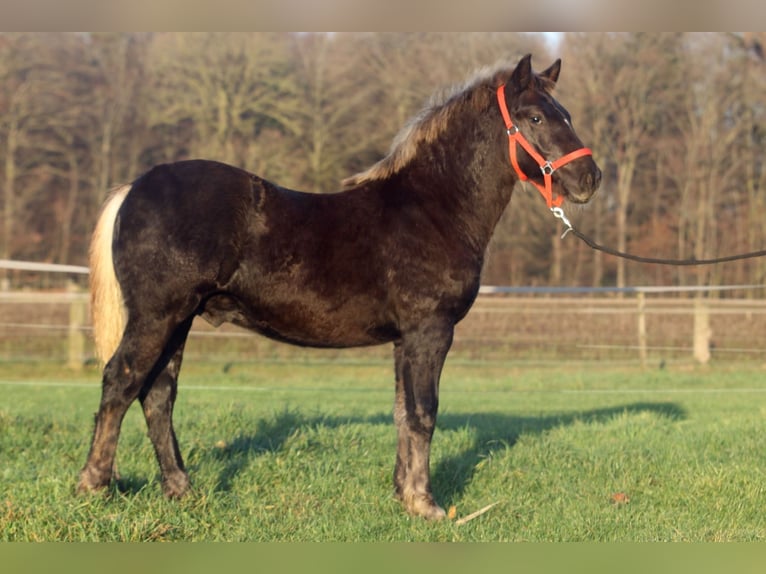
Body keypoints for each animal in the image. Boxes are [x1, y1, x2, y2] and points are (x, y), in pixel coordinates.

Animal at [77, 54, 601, 520]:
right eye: (535, 117)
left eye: (568, 115)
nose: (590, 178)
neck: (433, 208)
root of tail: (133, 188)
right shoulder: (430, 331)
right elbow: (424, 413)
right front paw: (426, 504)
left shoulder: (405, 340)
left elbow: (402, 412)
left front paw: (403, 495)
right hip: (158, 316)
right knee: (121, 381)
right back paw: (95, 485)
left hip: (180, 320)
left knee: (157, 394)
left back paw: (181, 490)